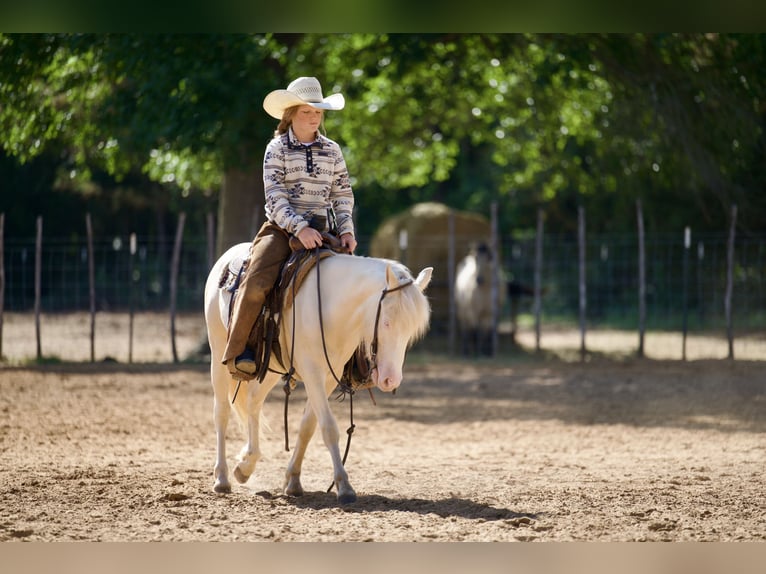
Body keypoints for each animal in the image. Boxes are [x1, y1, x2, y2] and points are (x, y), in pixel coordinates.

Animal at [204, 242, 433, 504]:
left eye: (410, 330)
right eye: (386, 322)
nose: (391, 380)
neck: (331, 307)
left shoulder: (327, 378)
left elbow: (308, 427)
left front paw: (293, 480)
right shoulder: (312, 372)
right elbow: (329, 428)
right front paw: (344, 486)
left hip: (272, 368)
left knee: (253, 402)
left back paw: (245, 465)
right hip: (219, 354)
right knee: (221, 412)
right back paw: (222, 478)